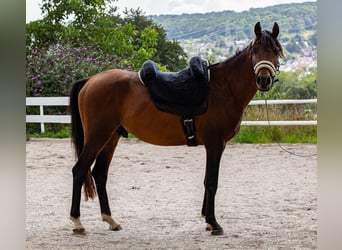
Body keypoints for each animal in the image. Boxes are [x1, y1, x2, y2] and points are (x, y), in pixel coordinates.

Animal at [69, 22, 284, 235]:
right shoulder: (215, 144)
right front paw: (214, 223)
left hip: (111, 137)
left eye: (275, 50)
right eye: (255, 50)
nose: (263, 80)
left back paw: (110, 220)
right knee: (79, 171)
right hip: (98, 136)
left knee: (100, 174)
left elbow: (207, 181)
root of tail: (90, 81)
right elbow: (211, 182)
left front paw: (207, 220)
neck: (223, 88)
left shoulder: (217, 145)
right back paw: (77, 222)